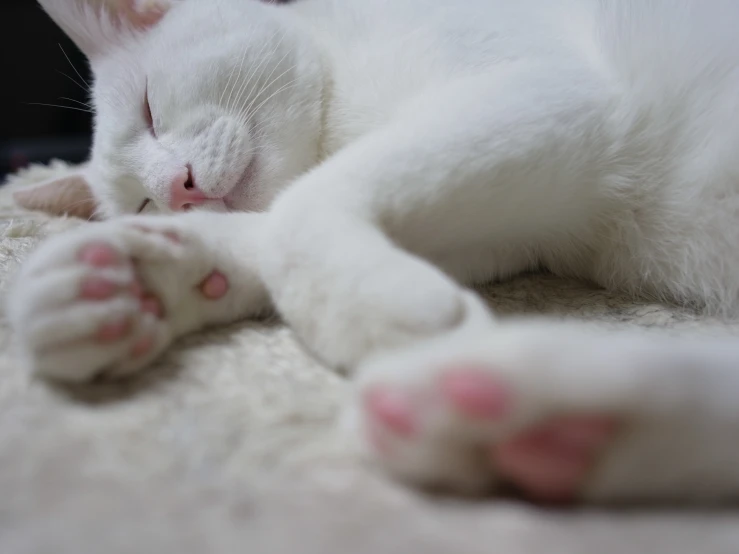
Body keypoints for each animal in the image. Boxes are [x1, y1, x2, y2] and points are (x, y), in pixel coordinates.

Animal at [8, 0, 739, 502]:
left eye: (151, 110)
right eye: (142, 204)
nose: (177, 193)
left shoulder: (547, 95)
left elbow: (297, 211)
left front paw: (393, 317)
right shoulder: (510, 228)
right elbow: (273, 227)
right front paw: (131, 276)